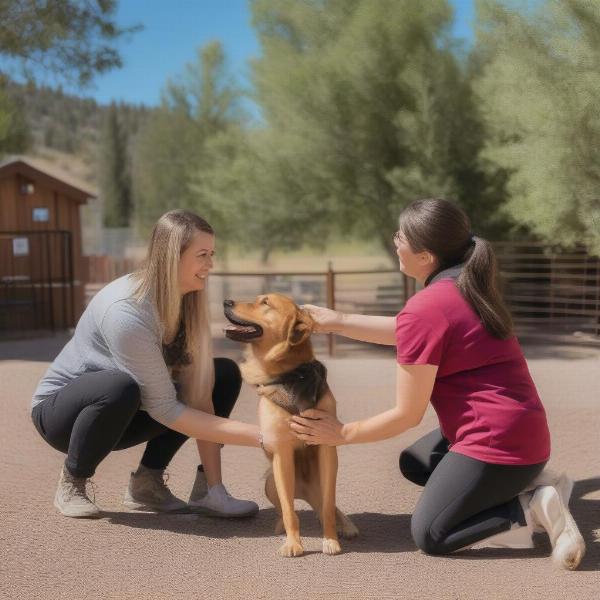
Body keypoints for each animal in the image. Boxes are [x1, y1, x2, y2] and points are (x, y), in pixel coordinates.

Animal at [224, 292, 356, 556]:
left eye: (265, 302)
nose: (226, 302)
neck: (292, 374)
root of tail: (304, 491)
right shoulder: (281, 451)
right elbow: (288, 512)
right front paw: (293, 543)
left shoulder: (327, 450)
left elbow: (328, 507)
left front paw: (331, 540)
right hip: (271, 483)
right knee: (284, 507)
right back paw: (279, 527)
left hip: (322, 480)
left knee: (328, 506)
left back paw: (346, 526)